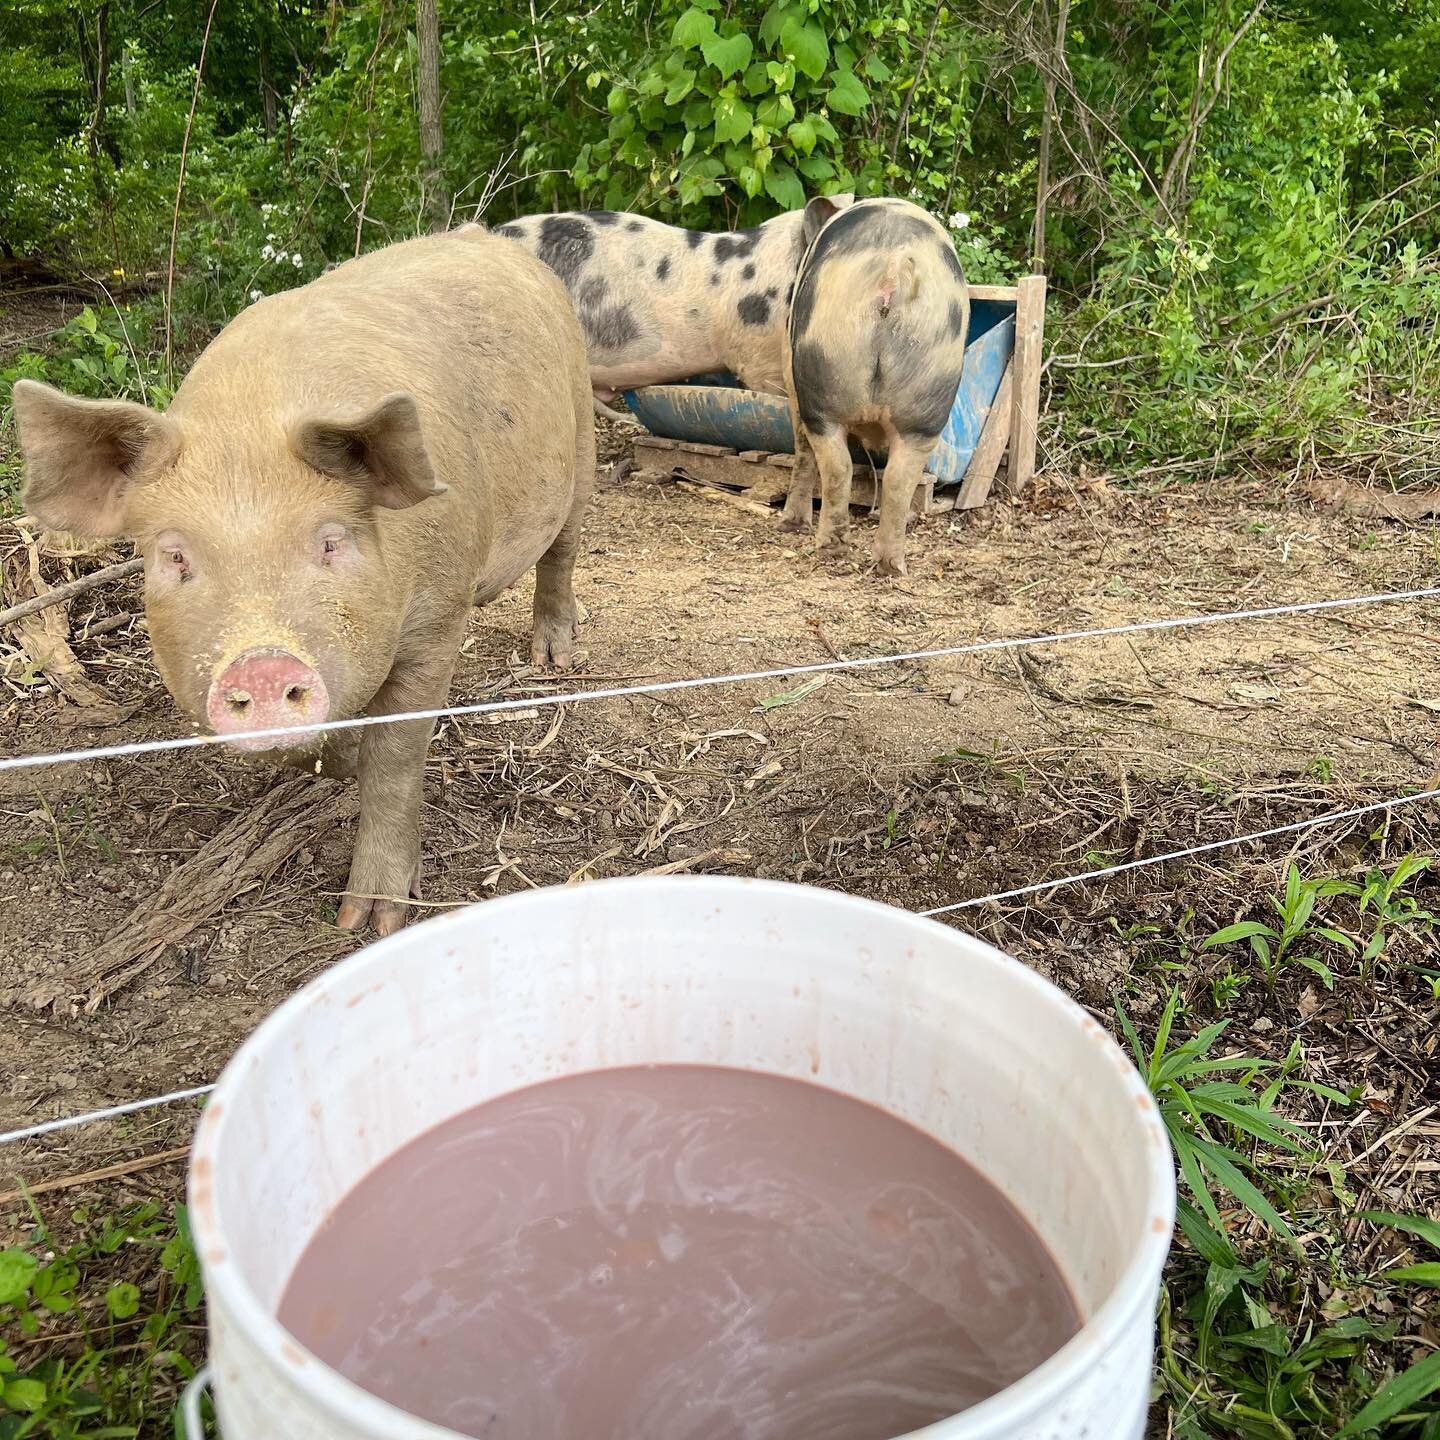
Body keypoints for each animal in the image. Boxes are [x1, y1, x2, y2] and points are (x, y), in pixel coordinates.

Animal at [14, 227, 593, 933]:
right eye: (175, 557)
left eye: (330, 542)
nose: (261, 663)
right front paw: (337, 768)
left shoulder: (439, 619)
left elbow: (398, 757)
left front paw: (367, 923)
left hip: (582, 428)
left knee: (564, 546)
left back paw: (553, 658)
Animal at [777, 198, 967, 578]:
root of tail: (892, 268)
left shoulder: (791, 379)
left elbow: (802, 449)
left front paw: (790, 525)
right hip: (931, 388)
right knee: (898, 478)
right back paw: (891, 567)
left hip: (819, 374)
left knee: (836, 466)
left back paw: (829, 550)